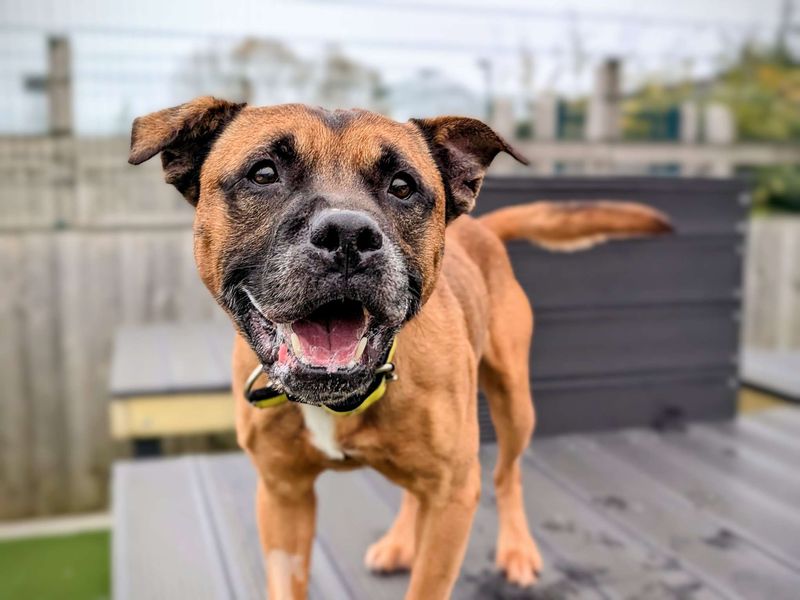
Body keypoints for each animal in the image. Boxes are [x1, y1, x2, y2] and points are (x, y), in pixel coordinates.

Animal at [130, 98, 668, 600]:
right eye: (263, 173)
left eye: (402, 186)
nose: (348, 236)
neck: (345, 398)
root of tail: (481, 228)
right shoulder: (283, 498)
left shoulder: (453, 497)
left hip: (515, 405)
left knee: (507, 475)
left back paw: (516, 548)